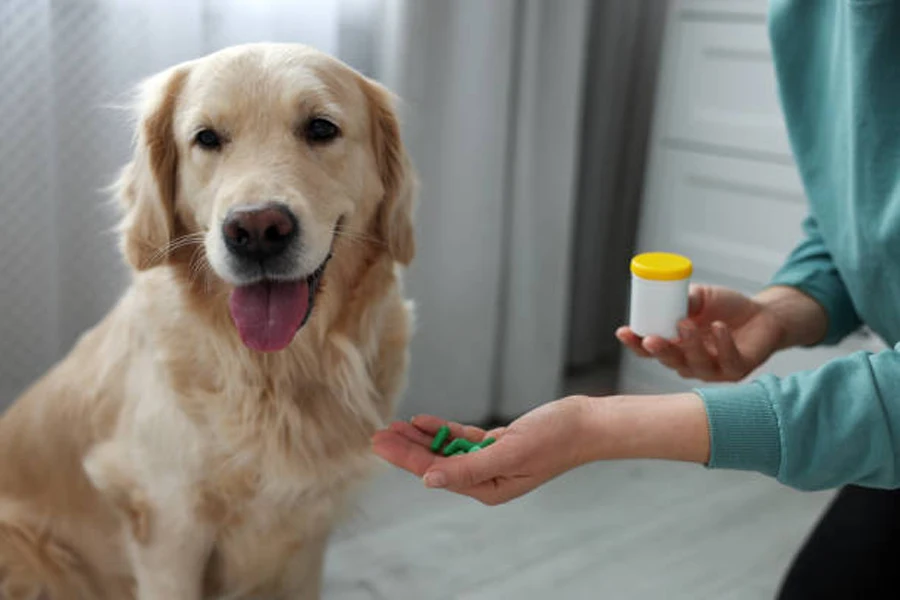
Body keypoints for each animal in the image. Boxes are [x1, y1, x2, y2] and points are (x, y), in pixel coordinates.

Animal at [0, 43, 416, 600]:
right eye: (207, 138)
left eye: (321, 128)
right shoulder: (168, 529)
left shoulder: (306, 535)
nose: (257, 230)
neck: (275, 372)